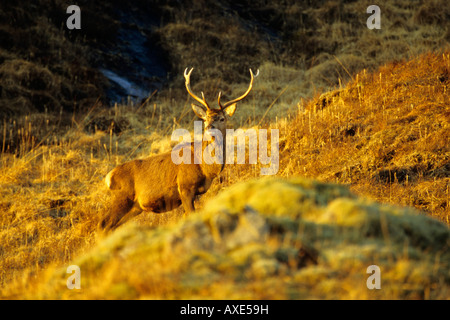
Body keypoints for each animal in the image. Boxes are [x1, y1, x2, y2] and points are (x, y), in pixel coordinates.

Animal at [100, 68, 258, 232]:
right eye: (205, 118)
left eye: (221, 118)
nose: (209, 128)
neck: (205, 167)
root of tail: (108, 177)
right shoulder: (184, 187)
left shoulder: (196, 193)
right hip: (122, 198)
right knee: (103, 224)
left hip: (135, 206)